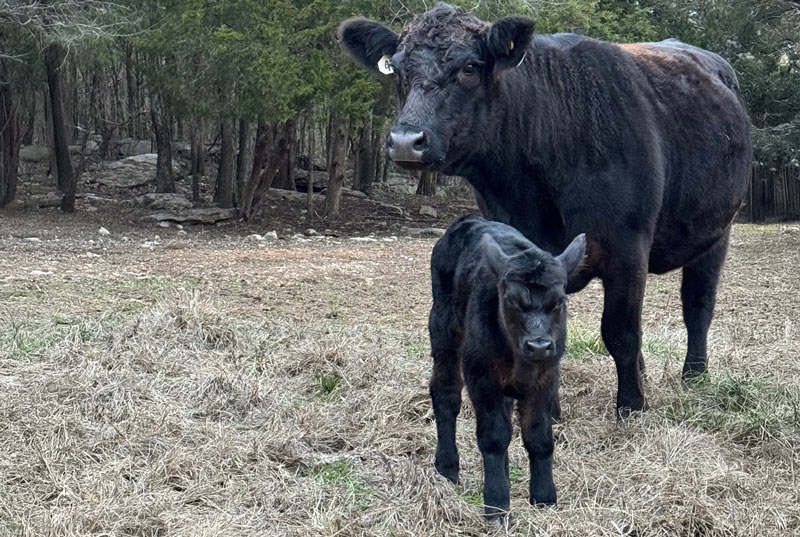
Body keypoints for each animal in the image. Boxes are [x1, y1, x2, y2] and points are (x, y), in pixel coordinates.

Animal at [339, 3, 752, 415]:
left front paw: (631, 407)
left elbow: (621, 330)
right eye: (397, 69)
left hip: (718, 232)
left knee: (698, 304)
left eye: (470, 66)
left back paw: (694, 375)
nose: (406, 140)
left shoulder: (627, 243)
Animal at [429, 214, 585, 521]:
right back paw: (447, 466)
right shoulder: (481, 375)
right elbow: (494, 436)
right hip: (442, 329)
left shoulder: (547, 377)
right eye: (512, 300)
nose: (539, 345)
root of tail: (468, 220)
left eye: (560, 301)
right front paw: (497, 504)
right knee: (445, 394)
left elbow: (538, 436)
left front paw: (544, 498)